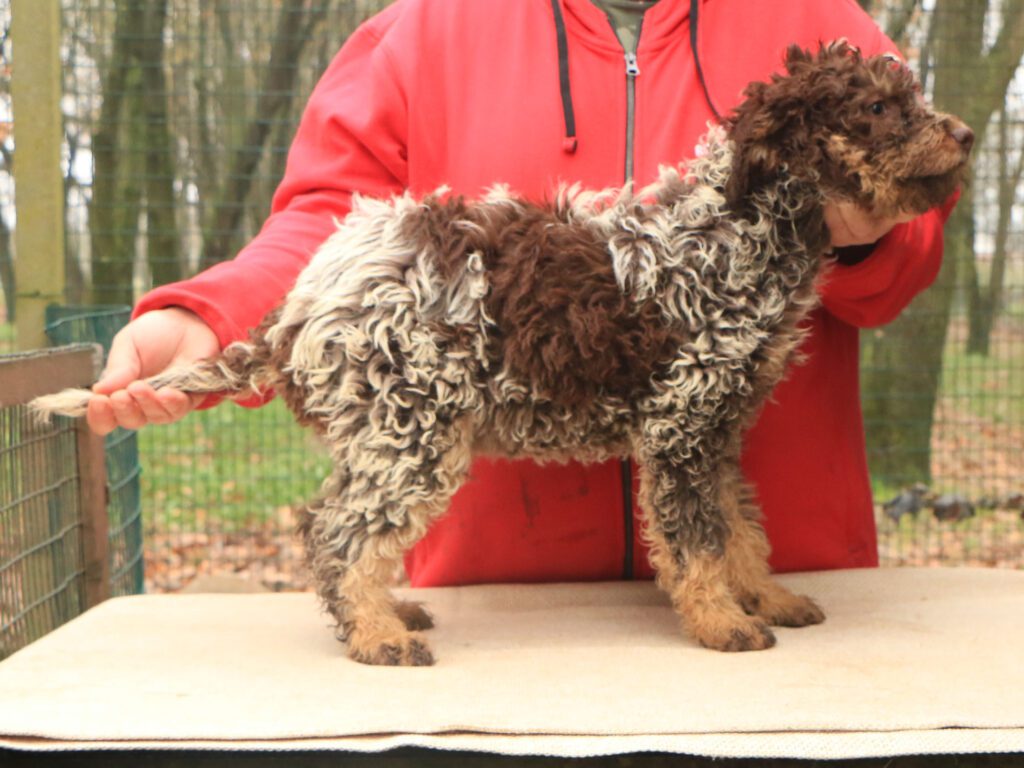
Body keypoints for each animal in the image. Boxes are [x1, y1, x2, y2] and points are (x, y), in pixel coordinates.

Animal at [36, 43, 970, 667]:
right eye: (878, 110)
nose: (963, 132)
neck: (735, 230)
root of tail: (305, 301)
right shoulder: (682, 428)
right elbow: (697, 540)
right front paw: (724, 622)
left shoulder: (719, 431)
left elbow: (740, 525)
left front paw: (765, 593)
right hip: (409, 431)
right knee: (339, 531)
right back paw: (378, 635)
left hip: (388, 434)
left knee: (339, 526)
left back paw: (390, 613)